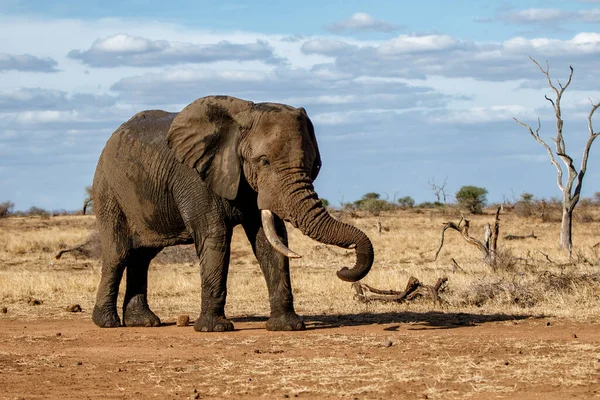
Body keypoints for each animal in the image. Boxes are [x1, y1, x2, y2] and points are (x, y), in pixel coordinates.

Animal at [91, 95, 372, 332]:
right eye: (263, 161)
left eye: (314, 164)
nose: (343, 268)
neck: (241, 120)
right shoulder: (194, 175)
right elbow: (216, 236)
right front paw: (214, 329)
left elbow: (271, 241)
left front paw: (287, 327)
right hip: (107, 191)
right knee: (118, 253)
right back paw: (107, 323)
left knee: (143, 256)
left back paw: (144, 322)